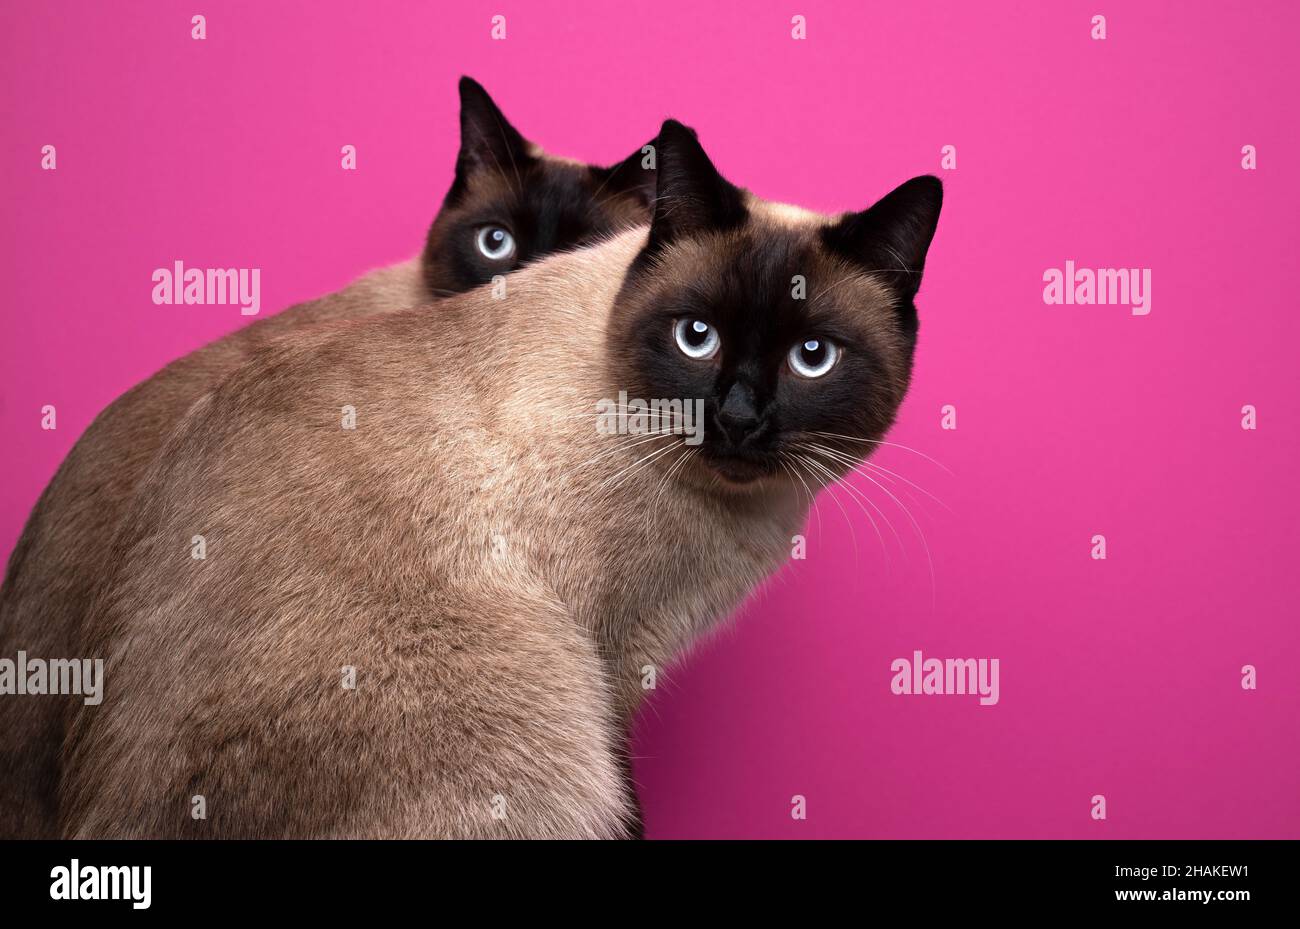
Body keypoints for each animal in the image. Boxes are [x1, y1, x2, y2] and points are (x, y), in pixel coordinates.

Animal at [55, 120, 946, 841]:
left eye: (812, 357)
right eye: (696, 337)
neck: (739, 513)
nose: (737, 417)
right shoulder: (610, 658)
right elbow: (627, 794)